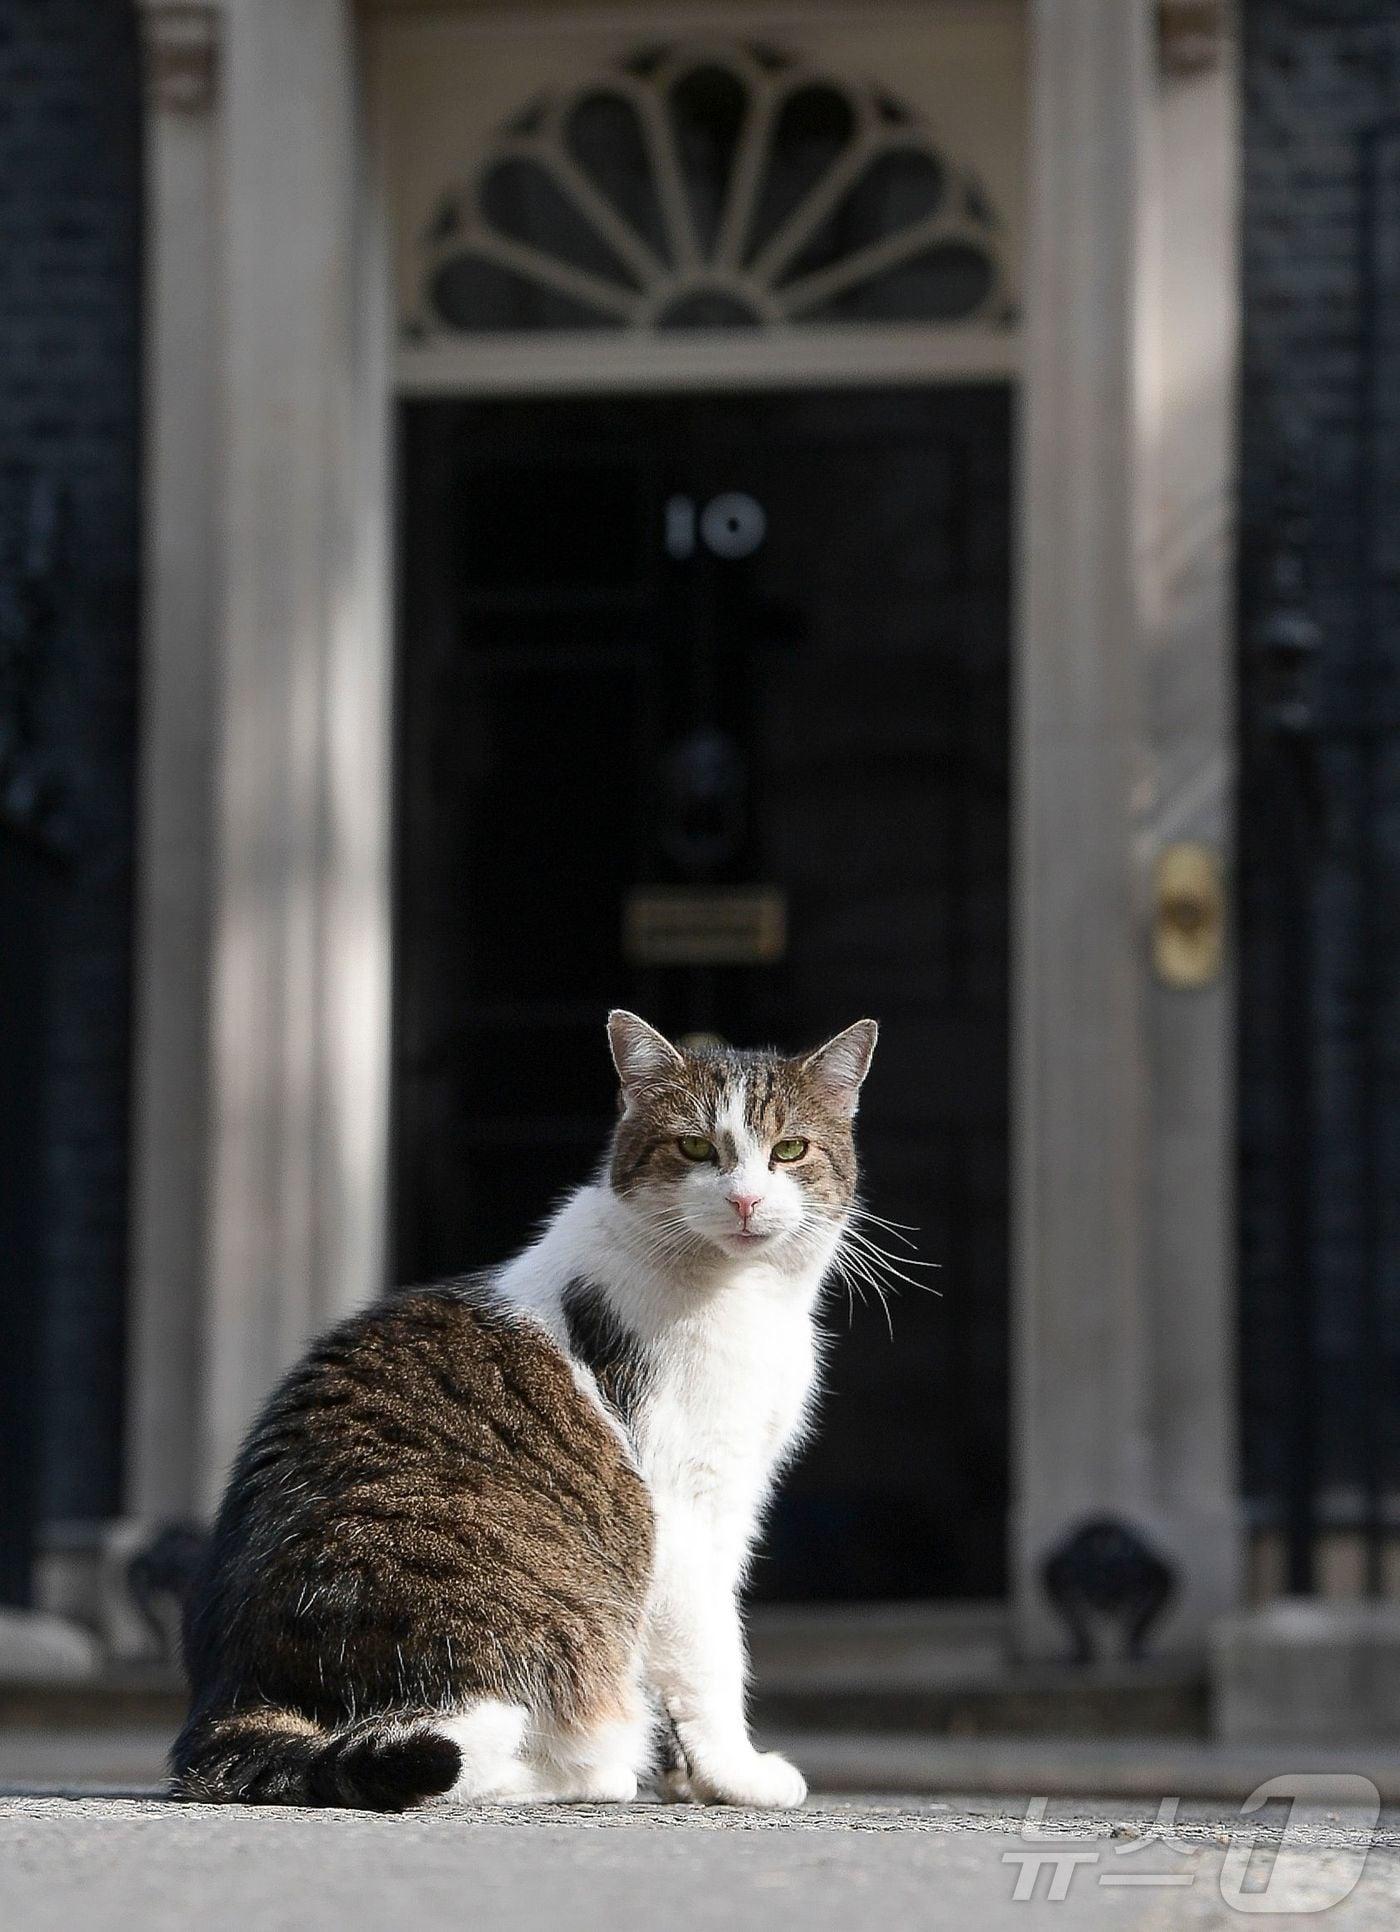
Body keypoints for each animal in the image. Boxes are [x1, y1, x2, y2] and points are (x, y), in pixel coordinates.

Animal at [167, 1012, 872, 1808]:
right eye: (696, 1147)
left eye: (790, 1151)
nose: (747, 1200)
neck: (749, 1295)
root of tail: (231, 1699)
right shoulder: (688, 1506)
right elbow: (712, 1650)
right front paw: (736, 1774)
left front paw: (686, 1777)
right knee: (460, 1746)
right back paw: (594, 1769)